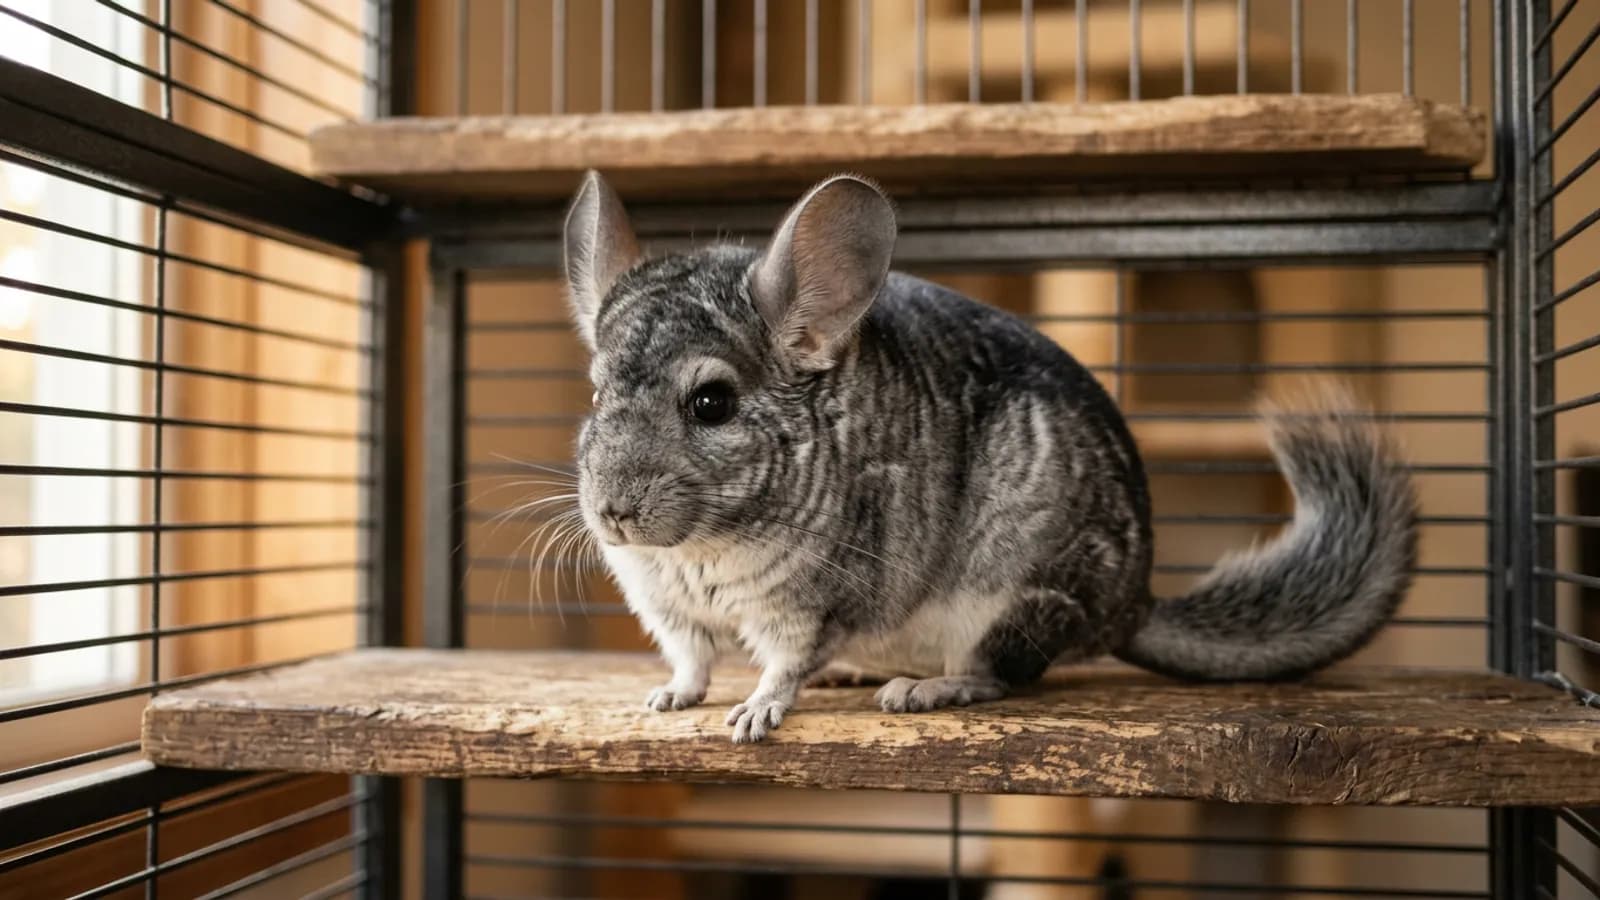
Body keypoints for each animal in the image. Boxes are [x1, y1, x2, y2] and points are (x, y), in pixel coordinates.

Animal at [560, 170, 1416, 743]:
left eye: (711, 403)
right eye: (596, 393)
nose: (612, 515)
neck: (698, 549)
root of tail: (1132, 606)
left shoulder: (812, 600)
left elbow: (783, 663)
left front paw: (754, 713)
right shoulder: (665, 606)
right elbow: (691, 659)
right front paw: (669, 698)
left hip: (1009, 594)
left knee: (999, 673)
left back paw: (922, 691)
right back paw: (862, 671)